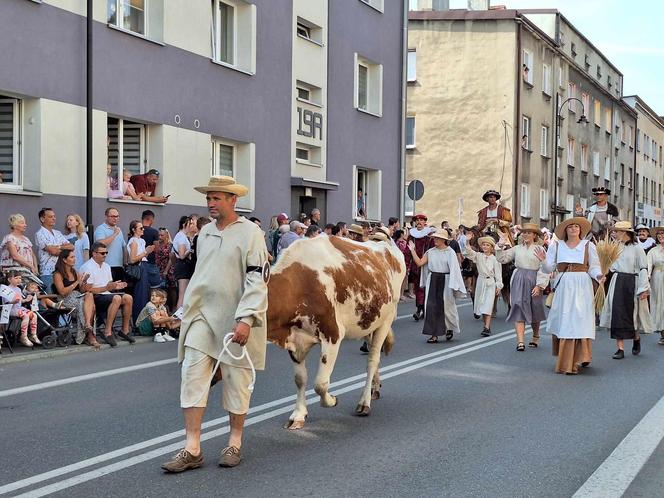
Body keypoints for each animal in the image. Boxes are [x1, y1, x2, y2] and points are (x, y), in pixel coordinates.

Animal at [266, 235, 404, 430]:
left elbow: (320, 384)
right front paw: (298, 415)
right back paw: (375, 389)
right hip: (369, 321)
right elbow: (300, 379)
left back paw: (364, 403)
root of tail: (387, 243)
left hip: (386, 319)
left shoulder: (333, 333)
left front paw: (331, 400)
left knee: (372, 360)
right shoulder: (295, 340)